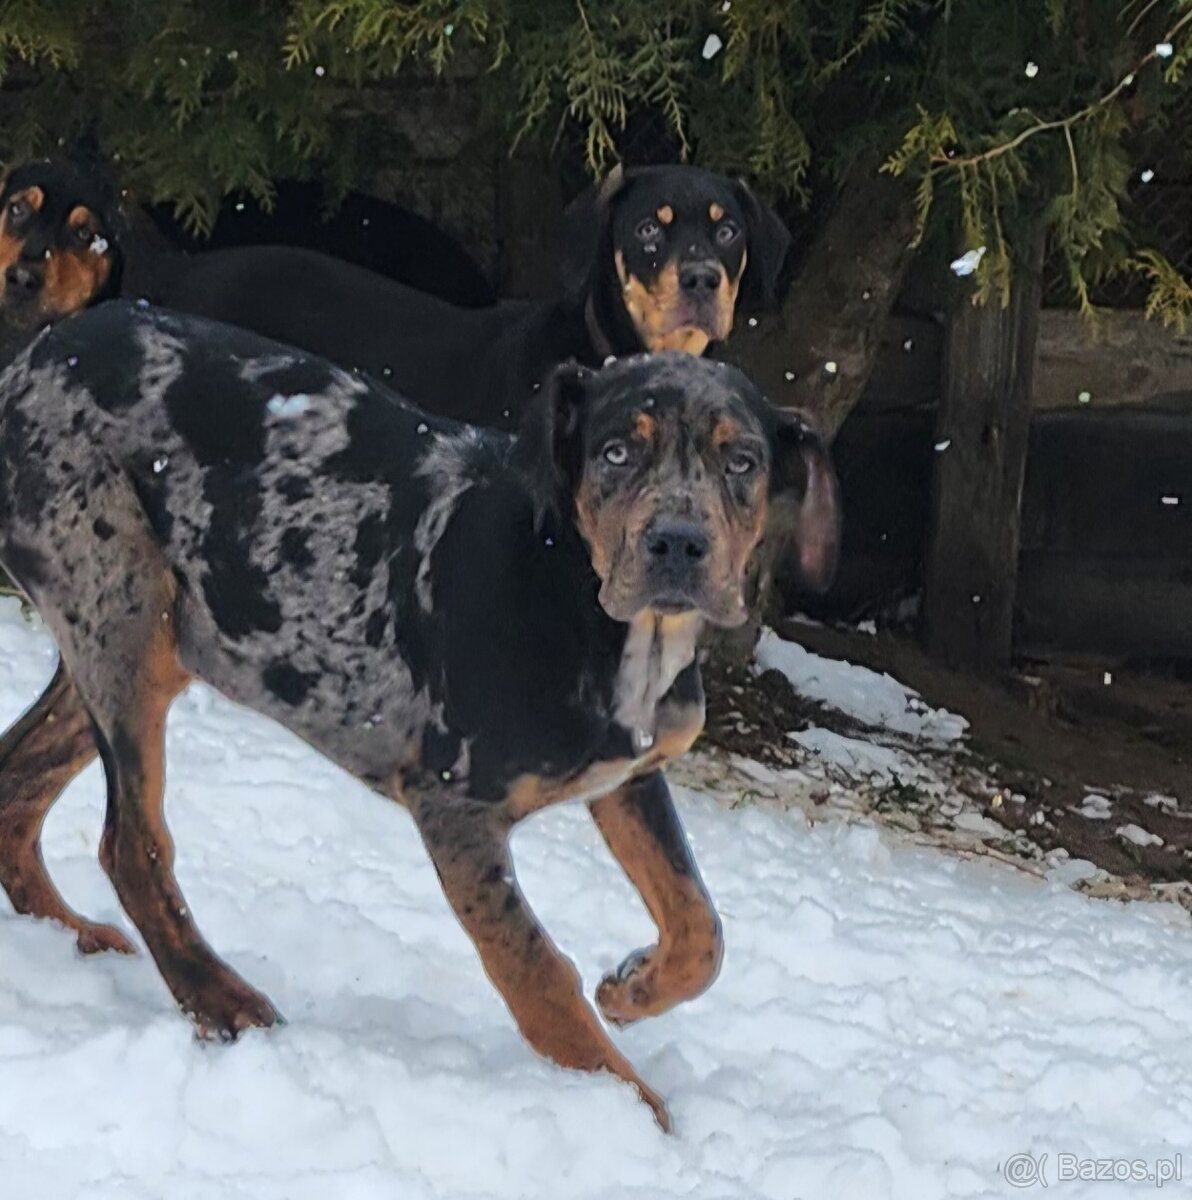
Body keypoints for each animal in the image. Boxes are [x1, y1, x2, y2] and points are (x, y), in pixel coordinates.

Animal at [0, 297, 835, 1123]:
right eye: (616, 454)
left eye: (743, 462)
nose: (677, 544)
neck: (598, 612)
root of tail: (33, 353)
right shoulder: (454, 805)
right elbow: (534, 967)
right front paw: (628, 1112)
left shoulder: (628, 776)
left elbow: (700, 925)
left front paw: (632, 989)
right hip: (122, 608)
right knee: (130, 846)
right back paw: (223, 1003)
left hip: (152, 639)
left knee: (18, 784)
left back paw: (69, 935)